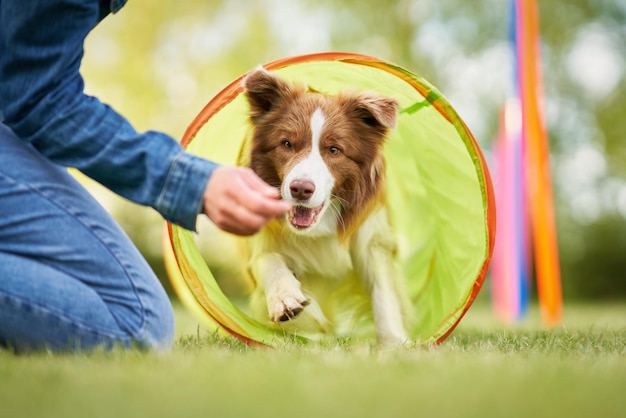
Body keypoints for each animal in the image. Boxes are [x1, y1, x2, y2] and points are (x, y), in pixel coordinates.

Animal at [239, 67, 410, 344]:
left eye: (334, 150)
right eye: (287, 143)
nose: (300, 189)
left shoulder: (372, 238)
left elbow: (383, 292)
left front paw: (394, 342)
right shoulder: (264, 246)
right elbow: (268, 259)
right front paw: (285, 299)